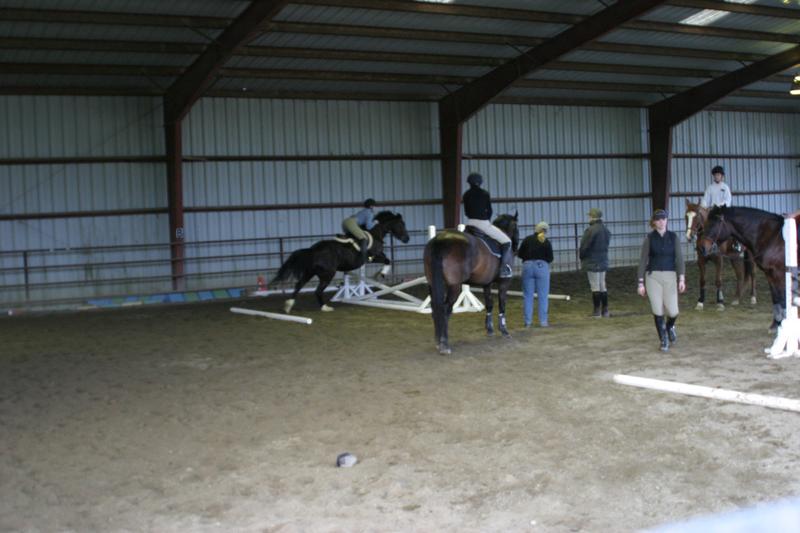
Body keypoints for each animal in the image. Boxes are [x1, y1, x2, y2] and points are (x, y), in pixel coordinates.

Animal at [270, 210, 409, 313]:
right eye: (401, 224)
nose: (407, 239)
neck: (375, 233)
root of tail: (313, 250)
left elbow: (386, 260)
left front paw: (380, 274)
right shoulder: (374, 257)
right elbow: (387, 260)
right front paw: (382, 273)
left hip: (310, 272)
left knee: (299, 285)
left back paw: (288, 306)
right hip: (327, 274)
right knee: (318, 291)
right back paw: (325, 307)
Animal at [423, 213, 519, 355]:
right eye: (516, 227)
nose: (516, 246)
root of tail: (439, 241)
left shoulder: (487, 283)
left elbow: (489, 304)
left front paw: (490, 329)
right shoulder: (504, 283)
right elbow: (502, 305)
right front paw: (504, 330)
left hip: (432, 284)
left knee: (435, 309)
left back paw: (438, 341)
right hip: (454, 286)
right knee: (445, 309)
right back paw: (444, 344)